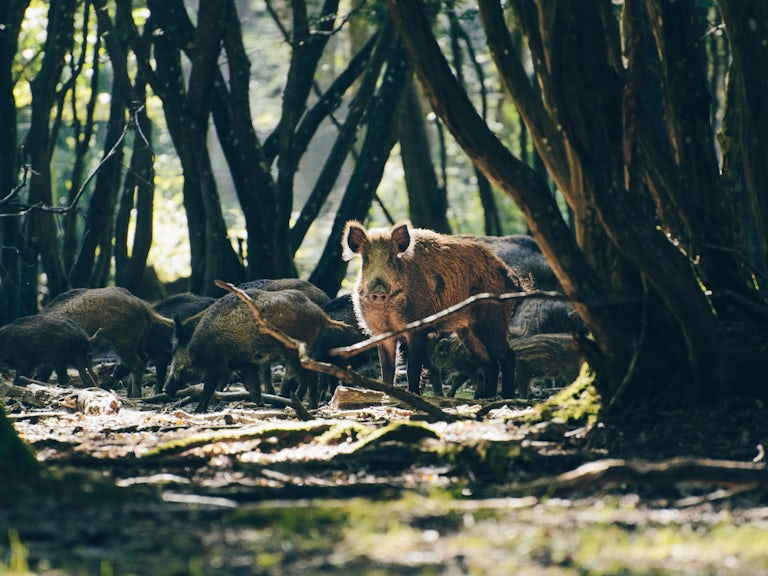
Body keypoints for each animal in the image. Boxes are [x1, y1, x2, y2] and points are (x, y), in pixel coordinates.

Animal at [41, 287, 174, 398]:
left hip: (124, 343)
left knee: (138, 363)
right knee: (145, 358)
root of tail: (143, 305)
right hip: (138, 343)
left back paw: (135, 396)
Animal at [164, 288, 347, 413]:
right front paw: (260, 405)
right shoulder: (246, 364)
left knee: (311, 376)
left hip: (293, 349)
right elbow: (253, 387)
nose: (166, 389)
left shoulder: (216, 365)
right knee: (306, 377)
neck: (198, 339)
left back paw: (309, 407)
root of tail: (320, 314)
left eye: (174, 348)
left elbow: (208, 388)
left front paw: (197, 411)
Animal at [341, 220, 525, 399]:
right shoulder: (382, 333)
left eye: (391, 259)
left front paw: (413, 395)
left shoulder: (418, 329)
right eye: (366, 259)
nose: (379, 291)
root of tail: (513, 279)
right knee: (490, 364)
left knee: (507, 357)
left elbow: (413, 367)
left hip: (491, 320)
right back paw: (486, 398)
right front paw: (387, 395)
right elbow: (387, 367)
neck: (388, 313)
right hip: (468, 331)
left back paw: (507, 397)